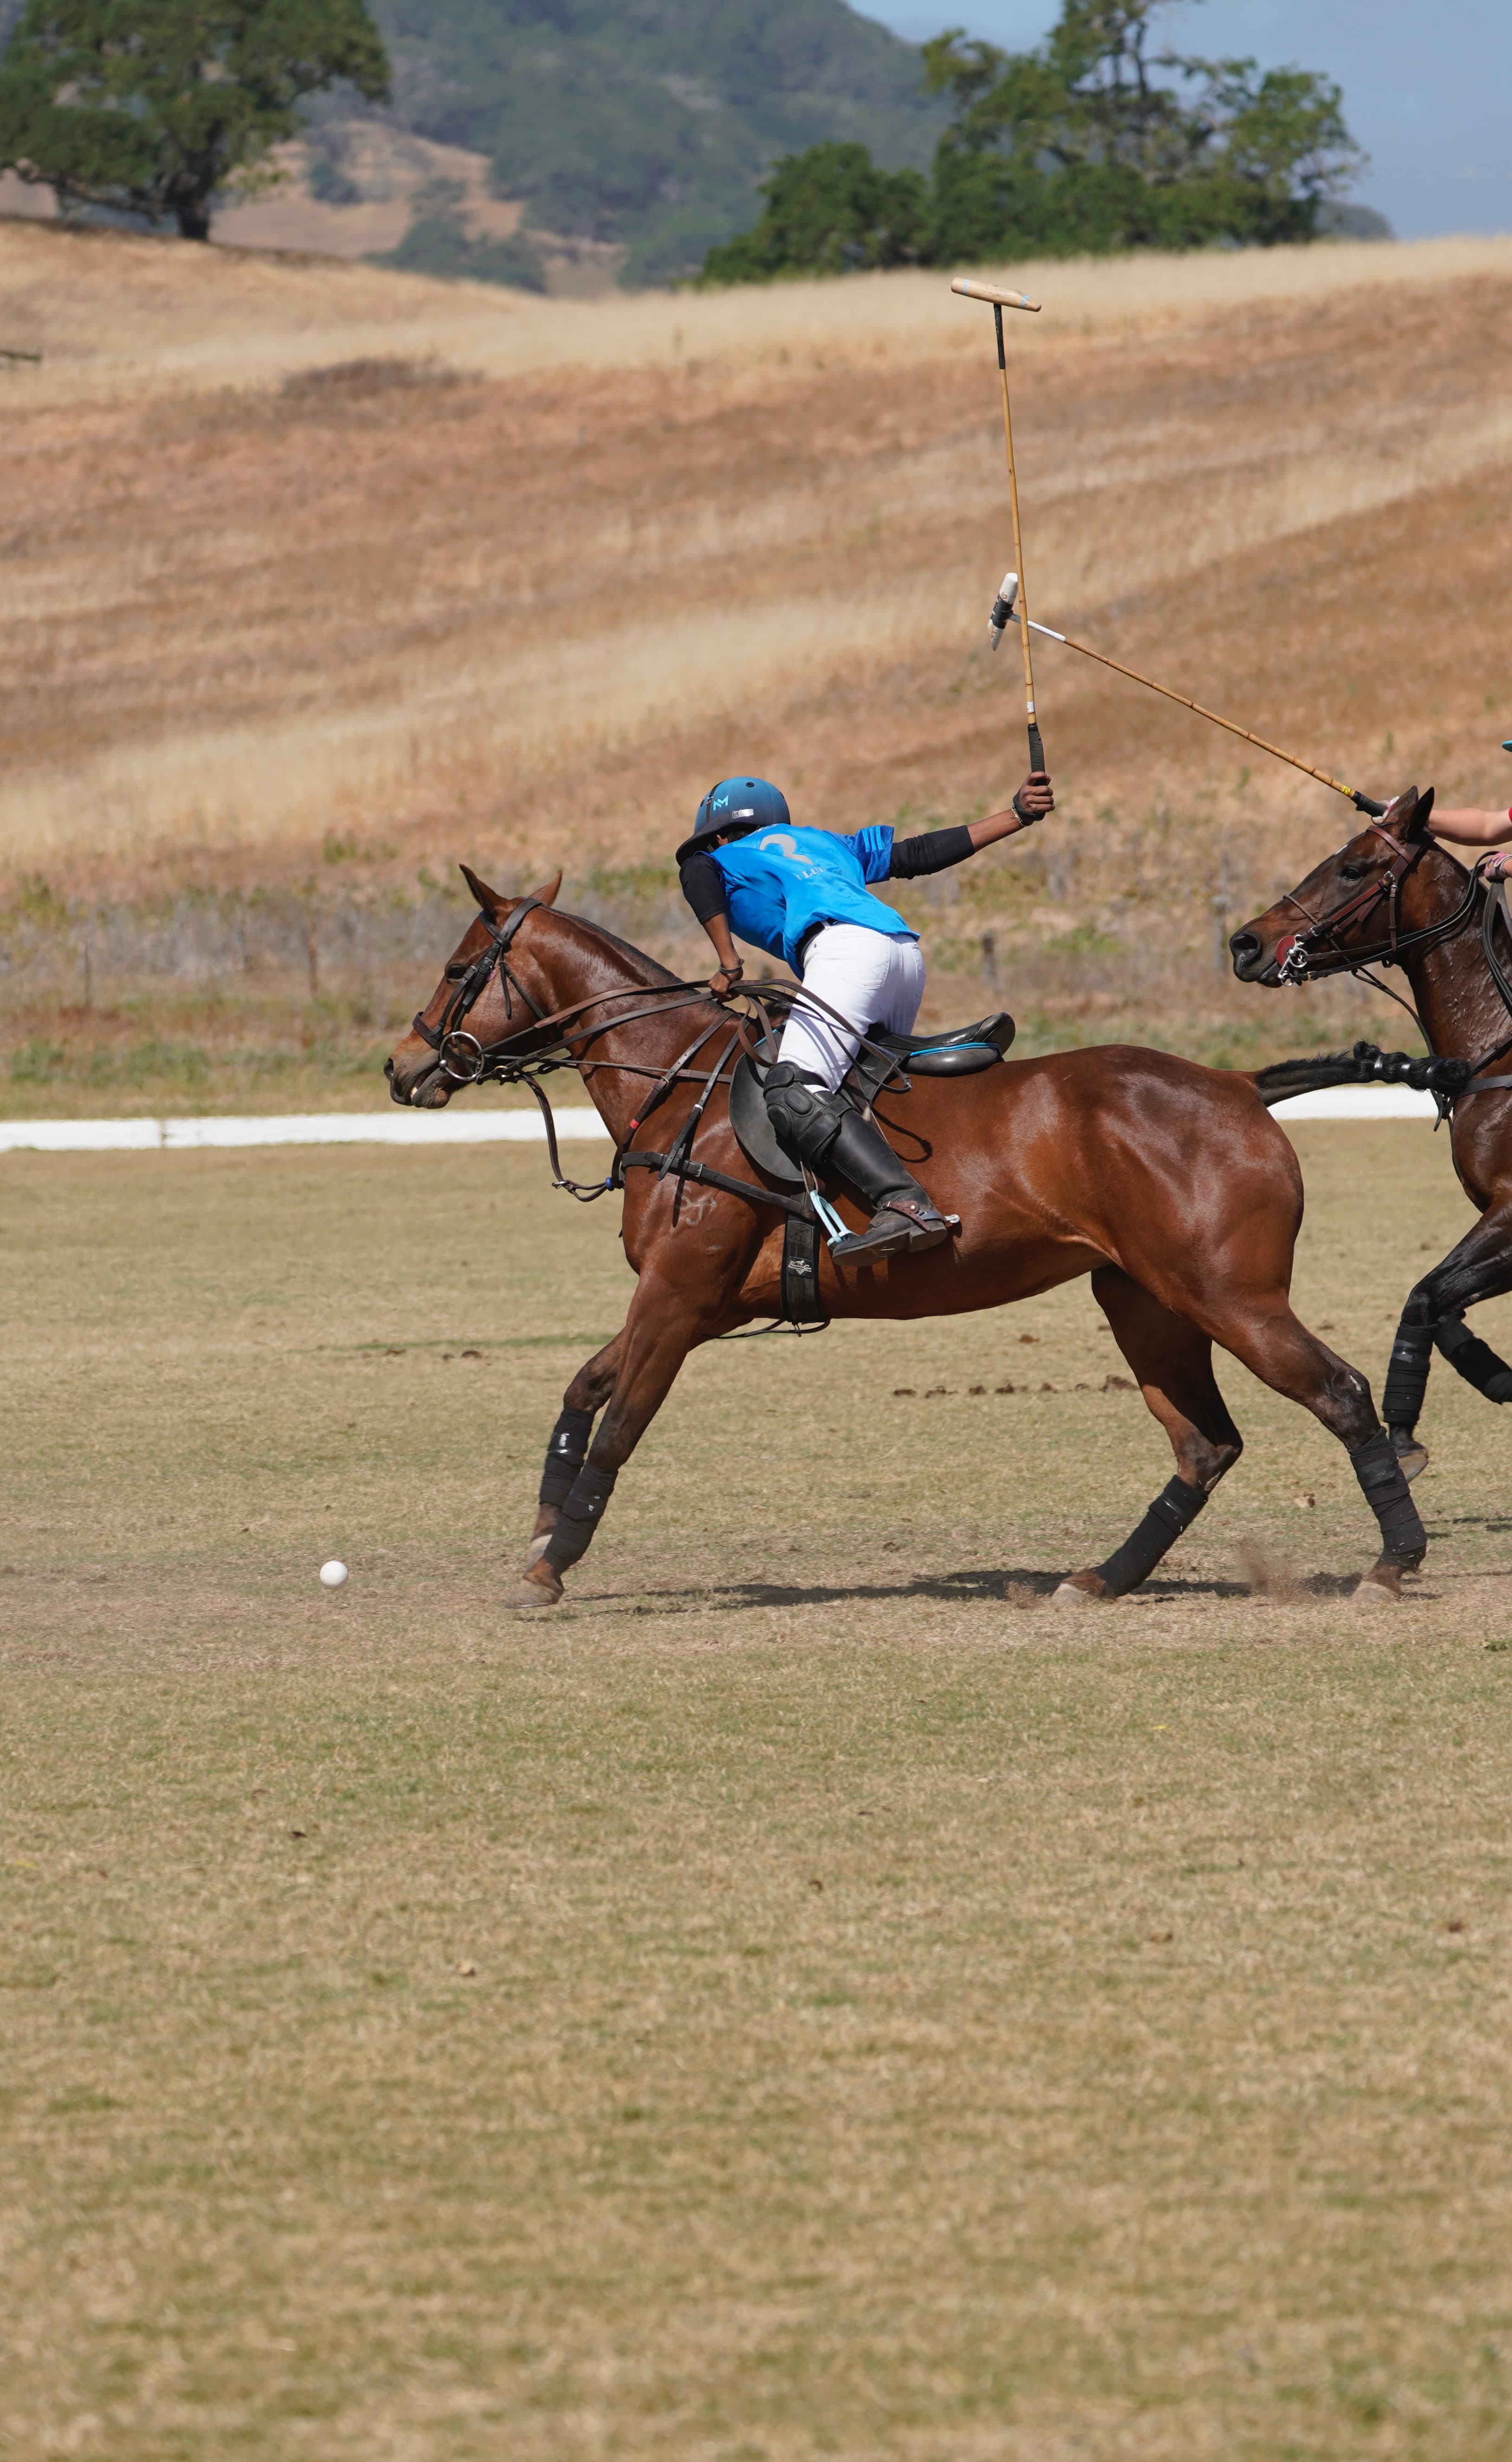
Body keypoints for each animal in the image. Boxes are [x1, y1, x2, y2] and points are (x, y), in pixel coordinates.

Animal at [384, 871, 1428, 1615]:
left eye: (458, 970)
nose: (402, 1067)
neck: (681, 1088)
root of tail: (1240, 1085)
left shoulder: (678, 1296)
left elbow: (620, 1424)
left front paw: (550, 1565)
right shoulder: (698, 1303)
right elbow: (582, 1391)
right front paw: (541, 1536)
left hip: (1228, 1296)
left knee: (1337, 1393)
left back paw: (1393, 1562)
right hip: (1145, 1302)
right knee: (1204, 1445)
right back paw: (1097, 1579)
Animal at [1236, 792, 1512, 1477]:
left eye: (1353, 869)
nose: (1244, 944)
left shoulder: (1510, 1211)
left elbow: (1424, 1296)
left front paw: (1404, 1435)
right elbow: (1439, 1303)